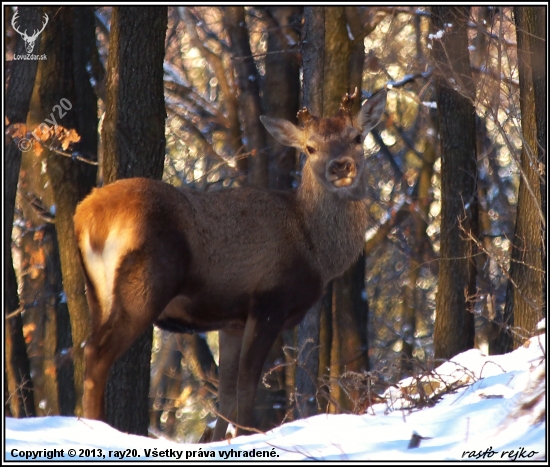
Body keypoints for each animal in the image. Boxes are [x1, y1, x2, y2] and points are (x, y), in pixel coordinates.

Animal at [74, 88, 388, 442]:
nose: (341, 166)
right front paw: (245, 436)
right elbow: (247, 387)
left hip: (96, 292)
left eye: (357, 137)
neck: (314, 250)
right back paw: (95, 427)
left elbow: (225, 394)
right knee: (96, 352)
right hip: (145, 284)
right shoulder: (268, 301)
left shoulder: (231, 321)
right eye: (310, 147)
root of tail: (89, 218)